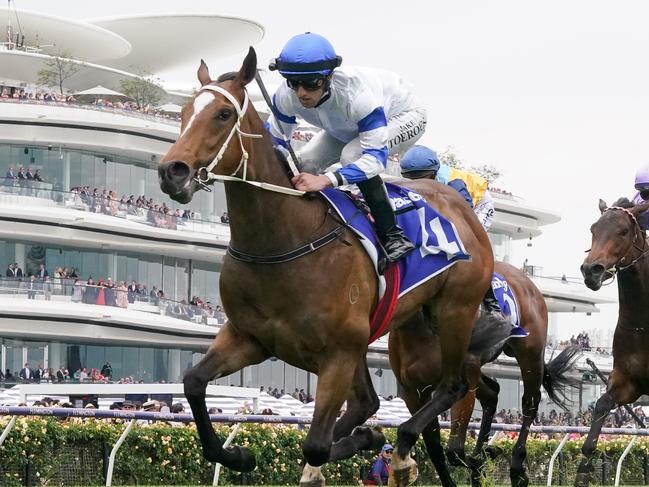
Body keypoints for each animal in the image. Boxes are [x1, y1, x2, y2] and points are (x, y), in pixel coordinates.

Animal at [159, 46, 498, 487]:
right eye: (184, 112)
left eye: (223, 114)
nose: (172, 172)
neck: (282, 242)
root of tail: (462, 205)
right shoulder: (249, 337)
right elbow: (193, 383)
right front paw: (239, 454)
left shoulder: (337, 352)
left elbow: (316, 445)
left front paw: (362, 444)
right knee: (369, 402)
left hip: (454, 310)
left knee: (451, 386)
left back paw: (402, 448)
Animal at [388, 264, 580, 487]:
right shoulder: (414, 392)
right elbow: (435, 447)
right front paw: (480, 460)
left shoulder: (460, 386)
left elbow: (454, 450)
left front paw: (487, 456)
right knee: (493, 392)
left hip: (530, 355)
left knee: (529, 403)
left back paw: (516, 468)